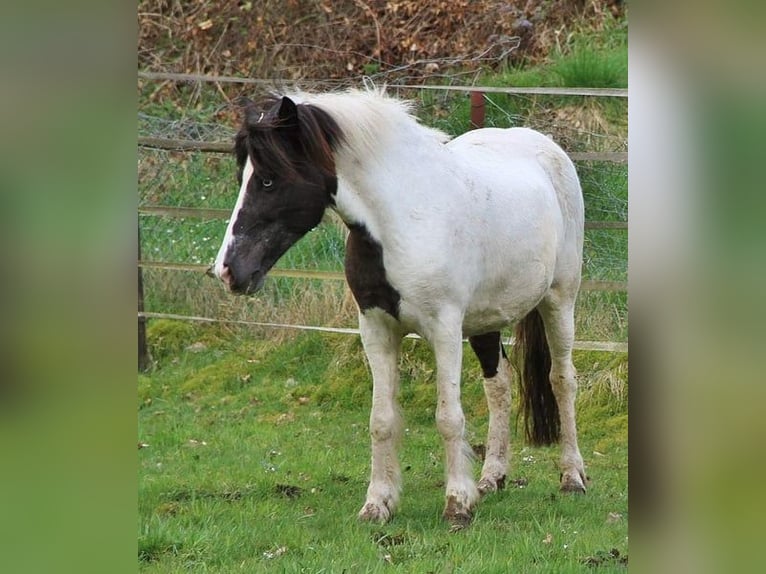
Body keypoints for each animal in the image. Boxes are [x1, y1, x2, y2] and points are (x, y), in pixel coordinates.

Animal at [210, 89, 586, 526]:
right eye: (243, 178)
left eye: (269, 180)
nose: (227, 270)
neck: (405, 219)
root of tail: (545, 146)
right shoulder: (376, 330)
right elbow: (382, 420)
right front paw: (378, 503)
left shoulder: (445, 330)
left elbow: (449, 417)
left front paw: (458, 503)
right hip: (485, 321)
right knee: (500, 386)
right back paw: (492, 477)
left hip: (559, 300)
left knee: (562, 380)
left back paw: (572, 477)